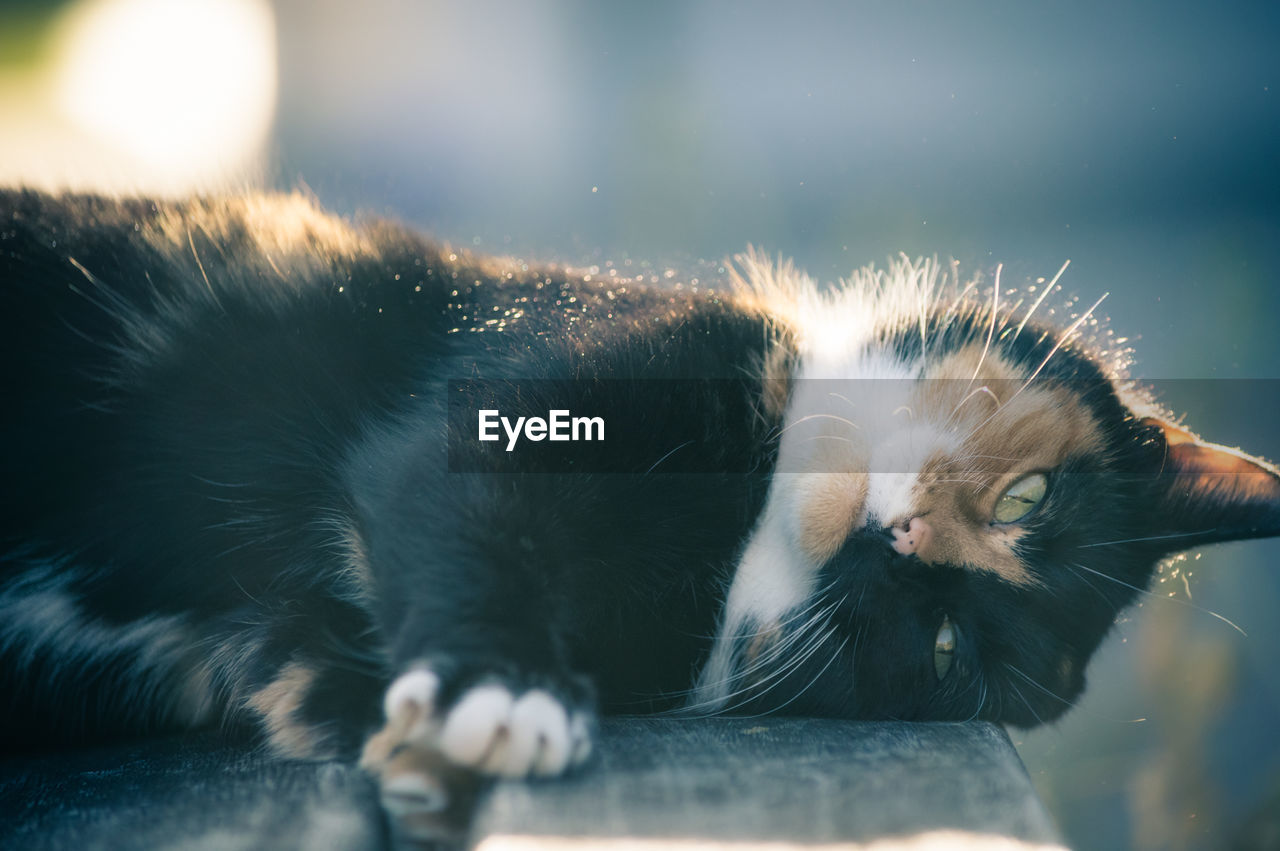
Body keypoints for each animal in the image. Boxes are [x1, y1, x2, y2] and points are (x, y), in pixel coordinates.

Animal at [2, 185, 1280, 803]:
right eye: (1027, 498)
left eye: (942, 644)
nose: (900, 535)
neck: (734, 522)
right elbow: (463, 507)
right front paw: (502, 685)